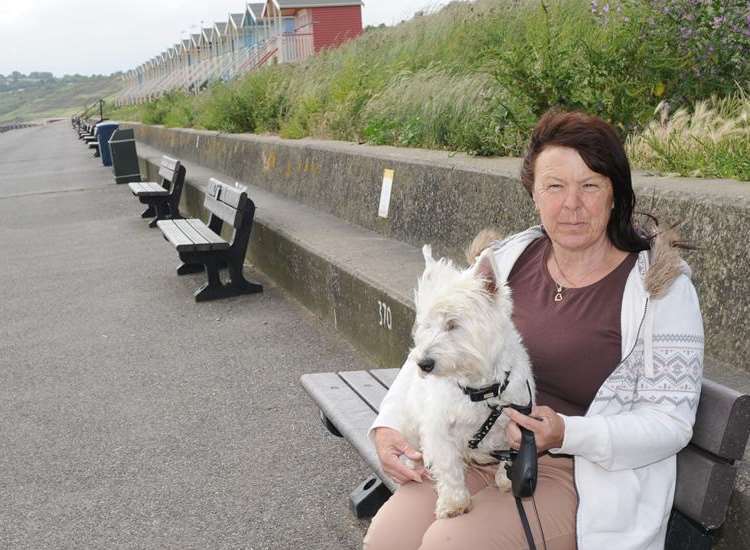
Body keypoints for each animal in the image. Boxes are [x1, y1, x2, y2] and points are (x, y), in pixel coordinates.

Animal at [406, 246, 536, 520]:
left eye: (452, 324)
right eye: (426, 325)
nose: (423, 364)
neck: (482, 389)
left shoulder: (517, 419)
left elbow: (511, 454)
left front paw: (506, 479)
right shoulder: (439, 428)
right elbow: (448, 467)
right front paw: (453, 502)